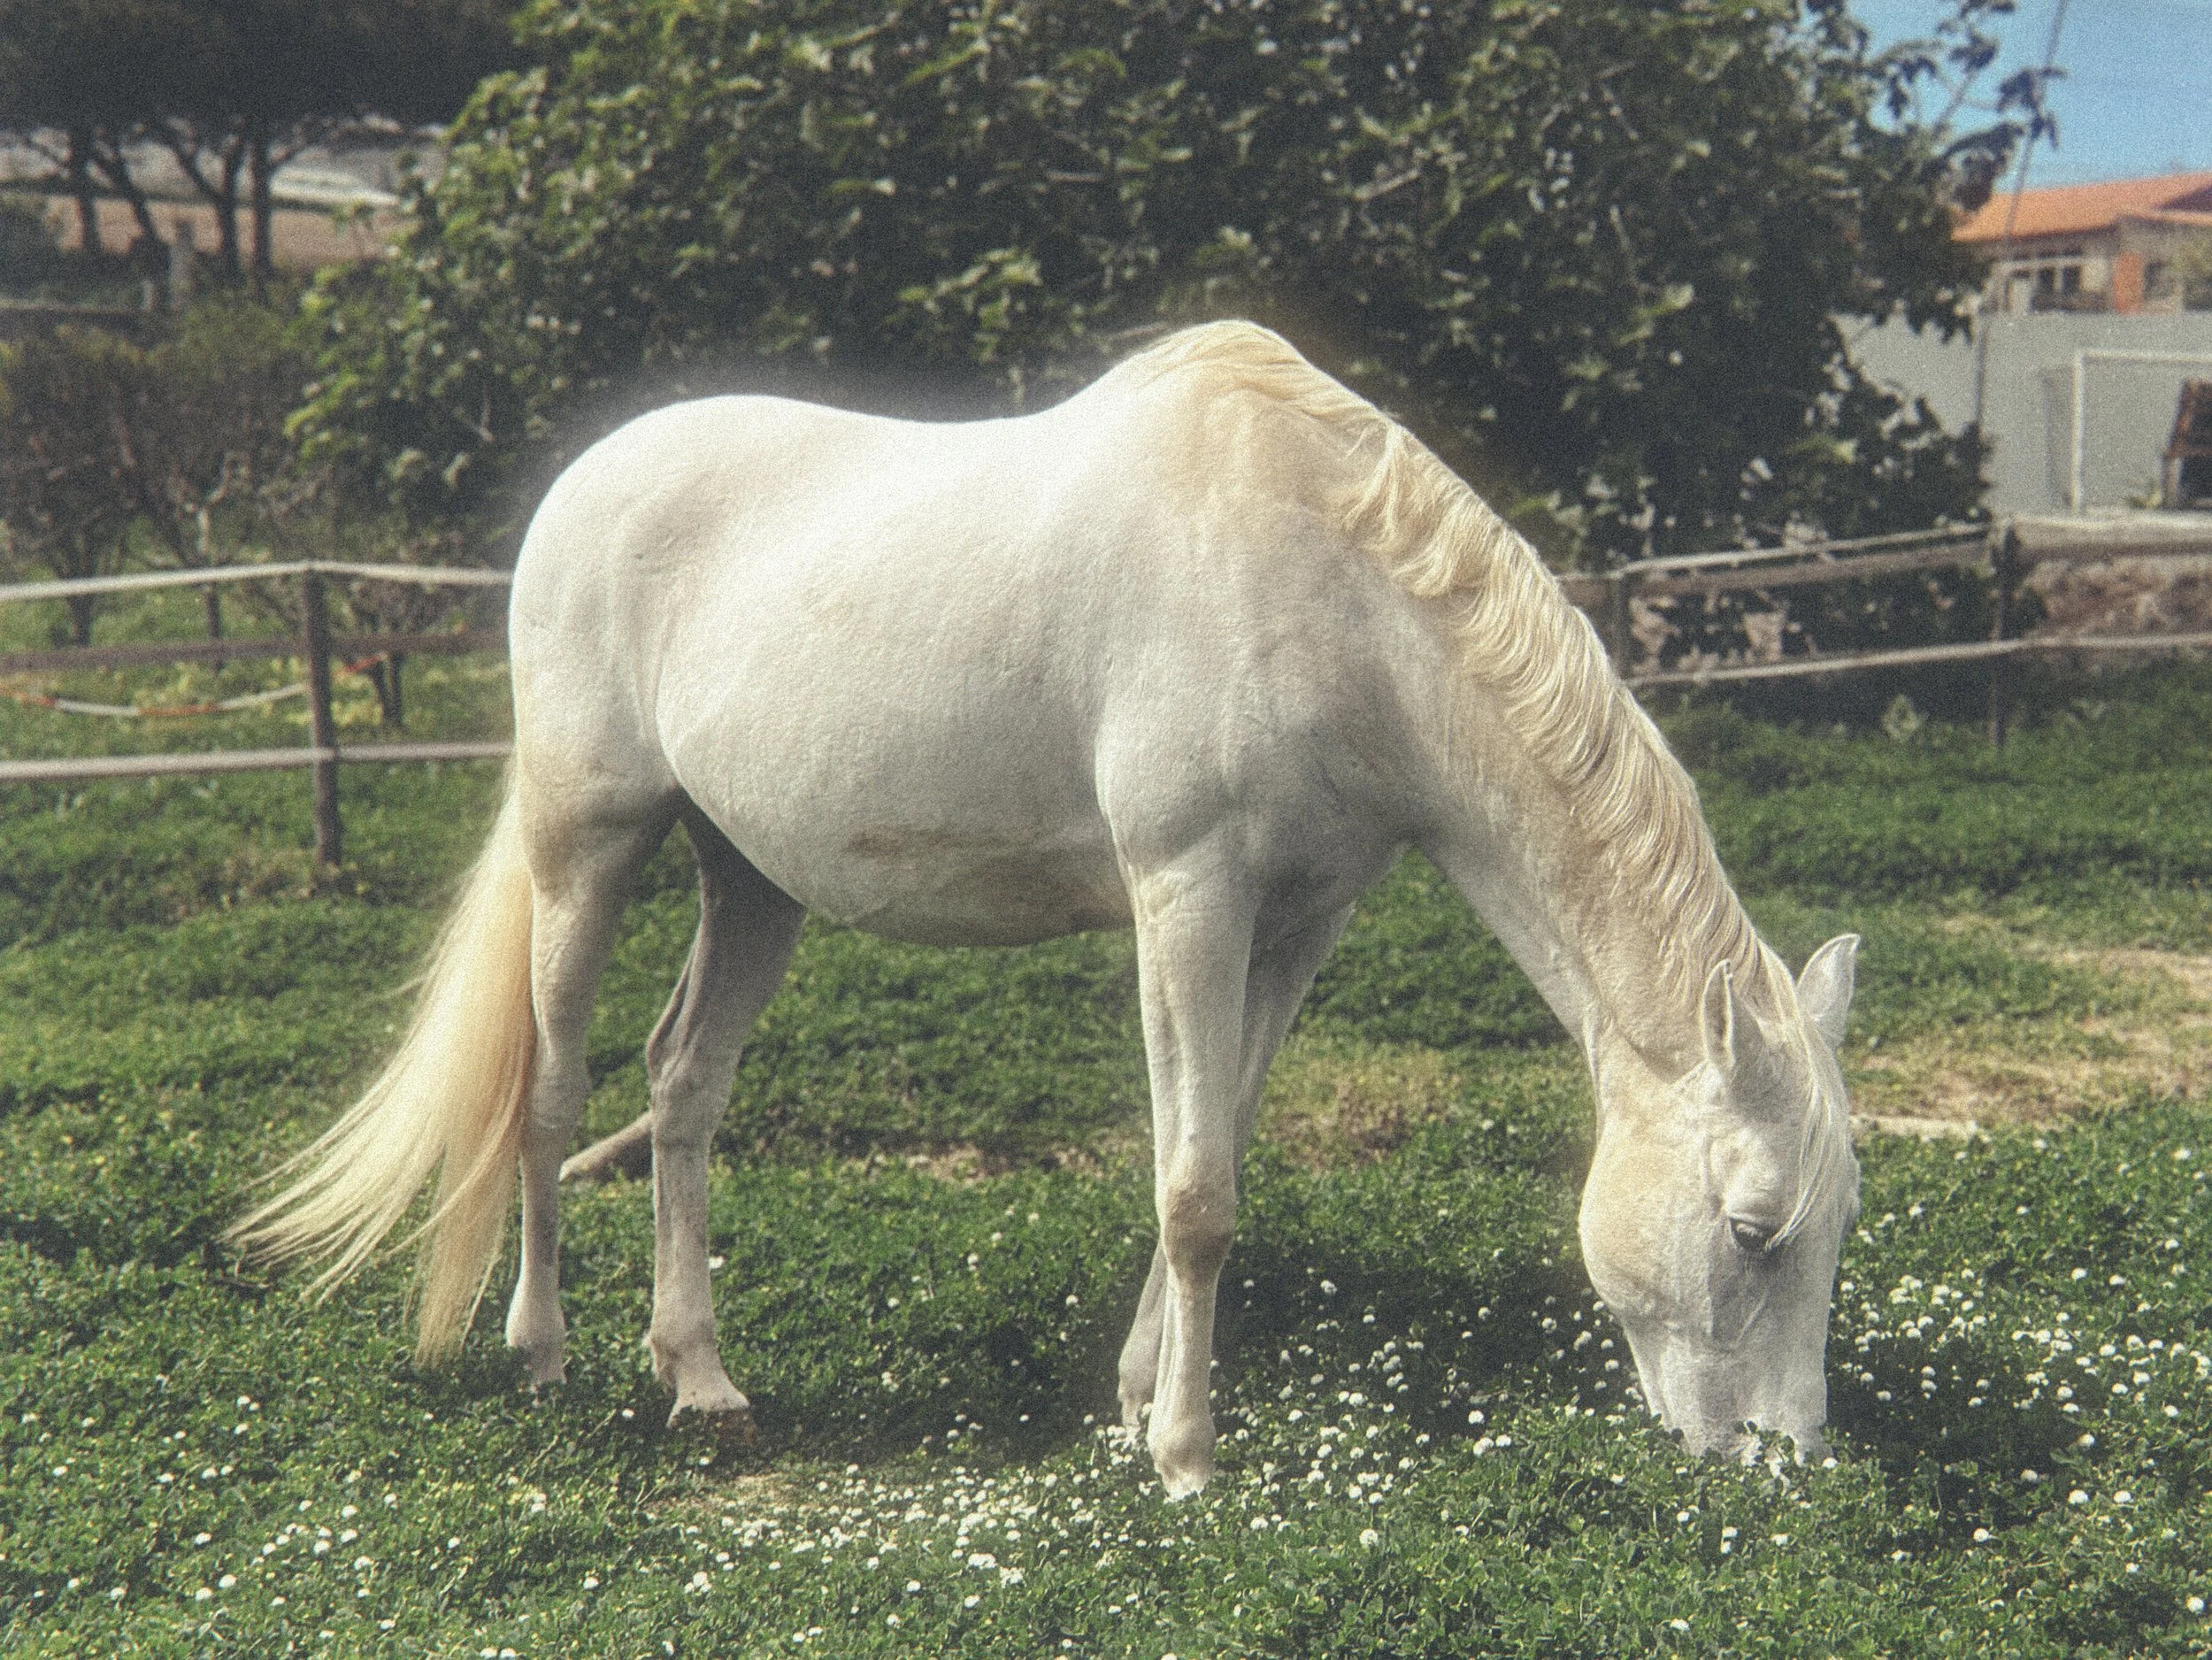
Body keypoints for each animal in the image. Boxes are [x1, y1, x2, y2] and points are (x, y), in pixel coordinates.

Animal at [234, 321, 1860, 1495]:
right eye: (1751, 1230)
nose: (1785, 1467)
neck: (1323, 581)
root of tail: (585, 483)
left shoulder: (1301, 916)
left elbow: (1213, 1146)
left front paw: (1140, 1400)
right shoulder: (1187, 891)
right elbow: (1198, 1191)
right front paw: (1188, 1459)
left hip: (748, 880)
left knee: (682, 1088)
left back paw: (700, 1379)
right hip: (592, 843)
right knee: (558, 1091)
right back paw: (543, 1355)